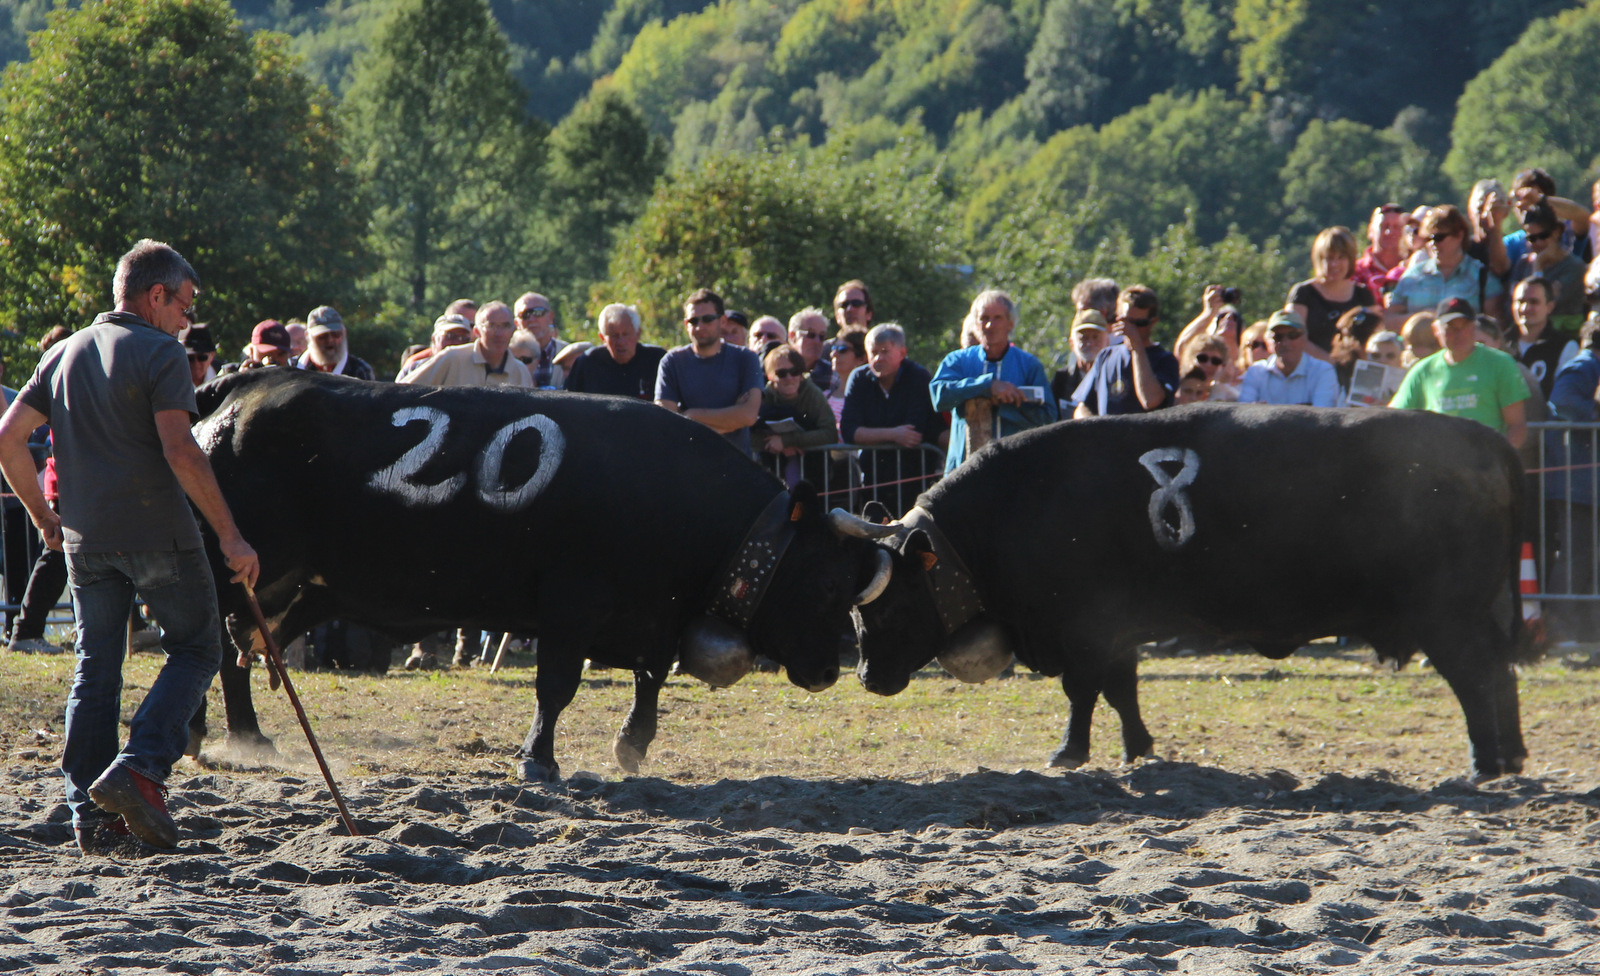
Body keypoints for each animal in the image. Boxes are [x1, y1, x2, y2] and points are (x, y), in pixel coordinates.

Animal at [188, 368, 896, 777]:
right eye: (827, 583)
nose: (830, 671)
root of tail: (245, 385)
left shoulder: (653, 617)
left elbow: (650, 678)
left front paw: (632, 746)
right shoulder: (572, 603)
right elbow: (556, 686)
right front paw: (539, 760)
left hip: (291, 585)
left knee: (237, 647)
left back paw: (228, 735)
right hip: (235, 567)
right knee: (216, 645)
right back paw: (229, 734)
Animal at [838, 403, 1536, 784]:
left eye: (892, 605)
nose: (868, 676)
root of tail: (1486, 441)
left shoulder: (1084, 628)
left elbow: (1083, 693)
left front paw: (1069, 752)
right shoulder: (1115, 630)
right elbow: (1122, 689)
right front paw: (1139, 748)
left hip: (1448, 616)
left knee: (1477, 676)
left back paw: (1485, 761)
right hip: (1476, 613)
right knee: (1500, 673)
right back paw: (1511, 756)